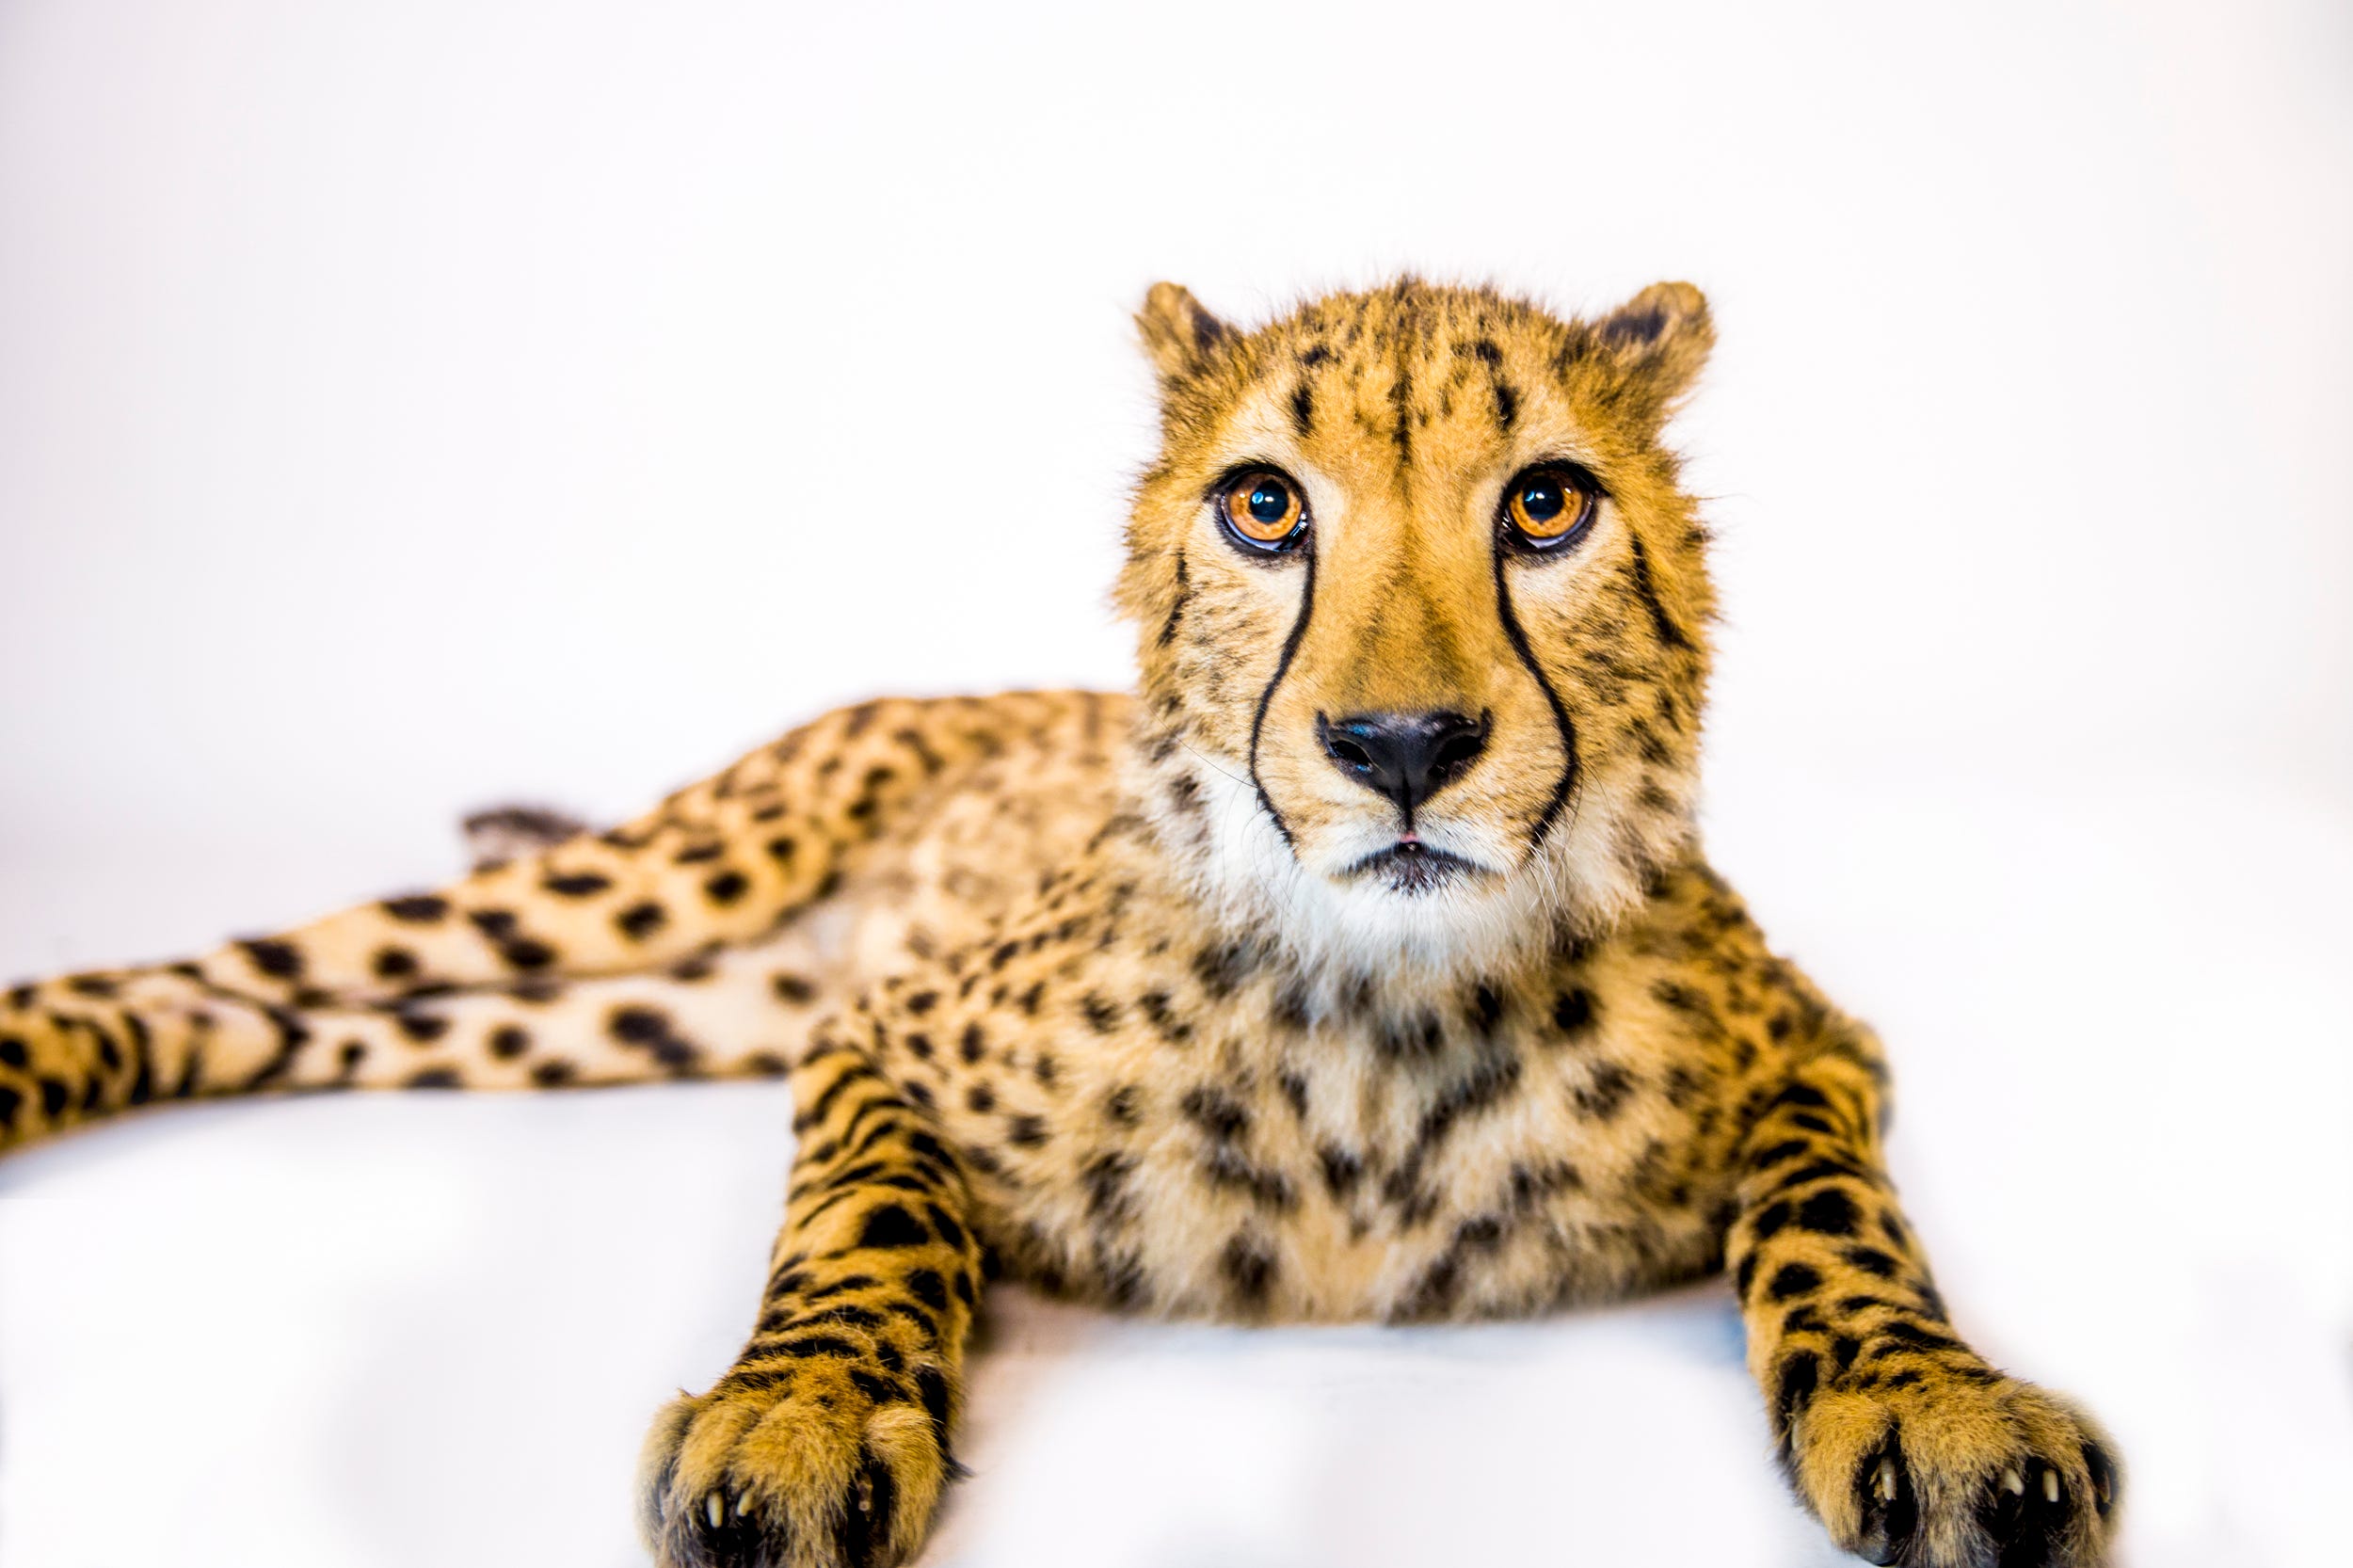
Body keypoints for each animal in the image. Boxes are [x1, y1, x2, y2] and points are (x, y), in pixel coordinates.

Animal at [0, 277, 2120, 1568]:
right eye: (1263, 506)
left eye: (1544, 506)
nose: (1402, 745)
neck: (1384, 1010)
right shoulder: (874, 1039)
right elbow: (868, 1222)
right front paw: (801, 1416)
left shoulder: (1819, 1048)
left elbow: (1839, 1218)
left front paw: (1936, 1400)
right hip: (650, 886)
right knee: (239, 966)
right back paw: (38, 1054)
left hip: (640, 1017)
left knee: (289, 1022)